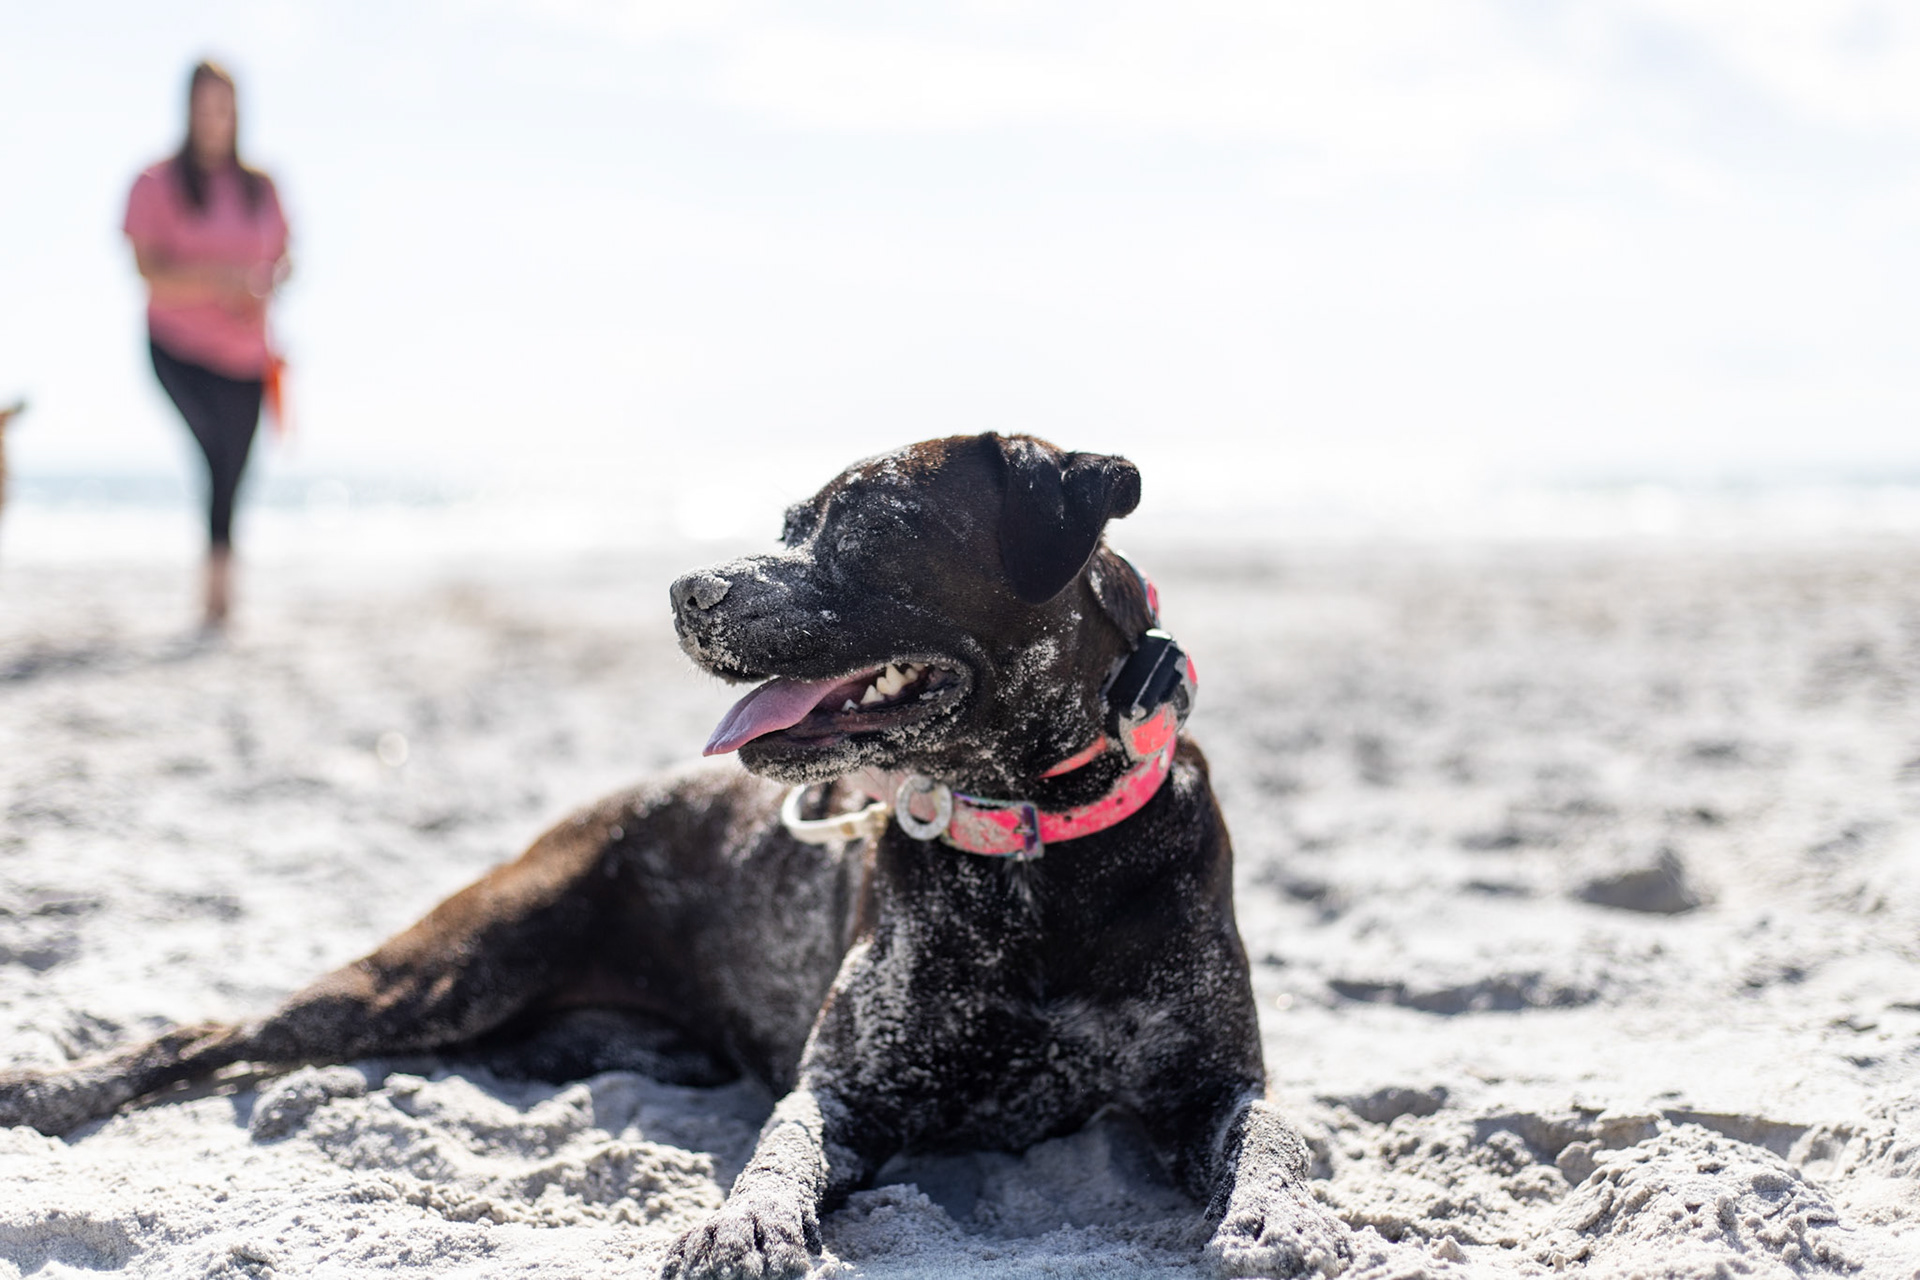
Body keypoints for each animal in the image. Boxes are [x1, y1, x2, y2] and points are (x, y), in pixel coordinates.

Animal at [0, 433, 1350, 1278]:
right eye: (792, 520)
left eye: (875, 524)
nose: (685, 589)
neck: (1032, 835)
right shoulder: (843, 1089)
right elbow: (780, 1148)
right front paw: (744, 1225)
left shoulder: (1209, 1085)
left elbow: (1274, 1138)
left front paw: (1285, 1213)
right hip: (444, 970)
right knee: (218, 1031)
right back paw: (54, 1088)